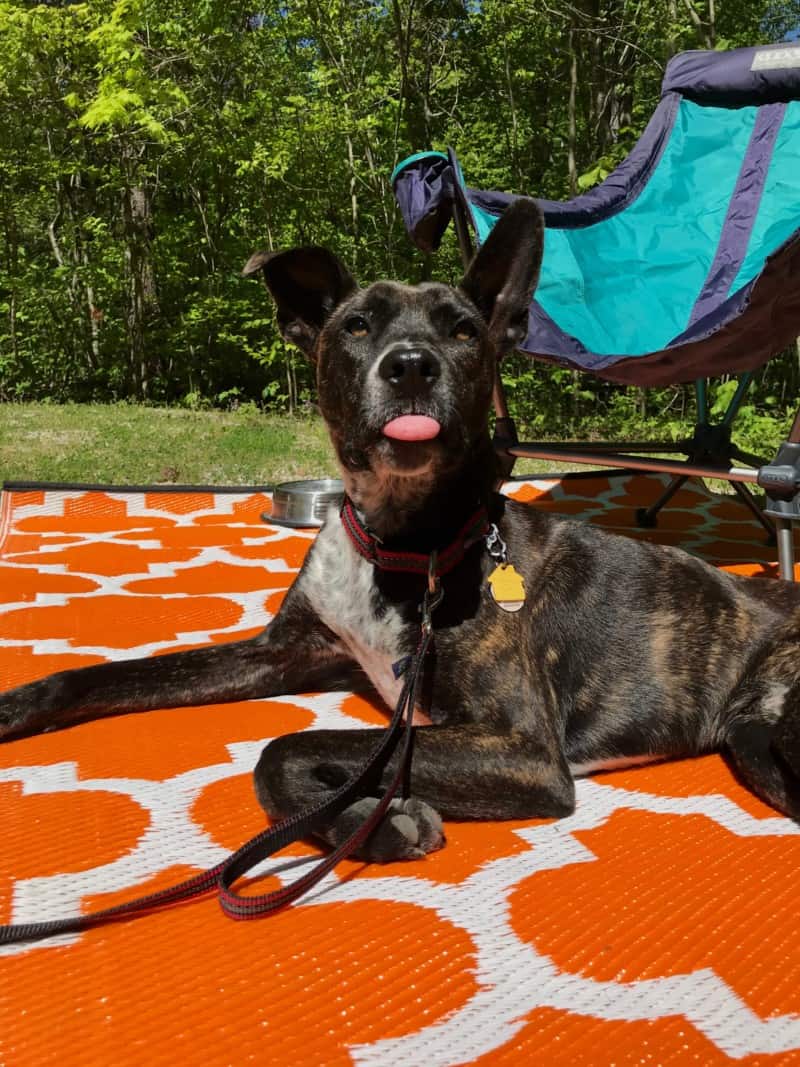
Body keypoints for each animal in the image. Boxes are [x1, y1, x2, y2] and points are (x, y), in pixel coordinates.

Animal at [1, 200, 800, 862]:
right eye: (357, 326)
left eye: (464, 330)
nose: (412, 365)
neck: (399, 539)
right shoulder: (281, 652)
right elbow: (113, 674)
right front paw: (18, 705)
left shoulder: (521, 747)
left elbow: (289, 745)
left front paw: (373, 824)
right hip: (755, 744)